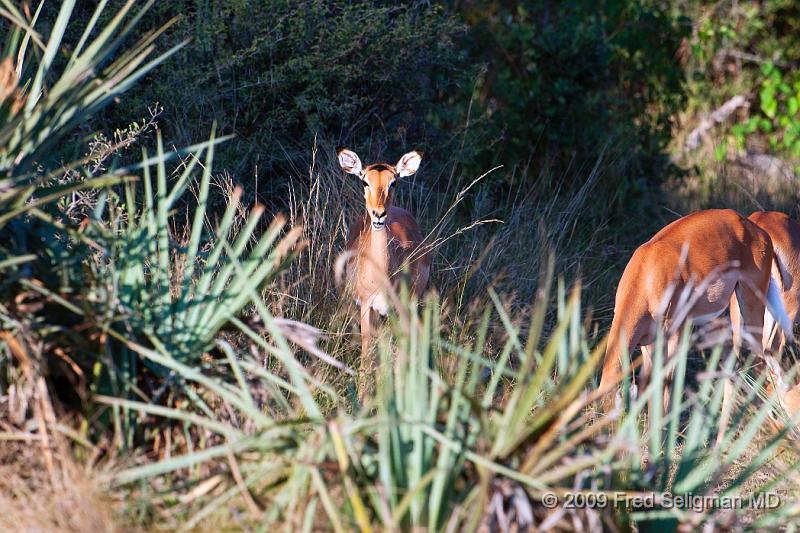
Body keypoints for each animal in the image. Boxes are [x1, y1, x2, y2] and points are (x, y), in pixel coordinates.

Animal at [334, 147, 432, 374]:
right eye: (364, 181)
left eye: (393, 182)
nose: (379, 214)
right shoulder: (366, 306)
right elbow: (366, 353)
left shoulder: (402, 308)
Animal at [596, 207, 792, 408]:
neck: (646, 276)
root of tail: (755, 228)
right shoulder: (648, 343)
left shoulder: (677, 332)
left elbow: (668, 386)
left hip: (751, 306)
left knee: (762, 358)